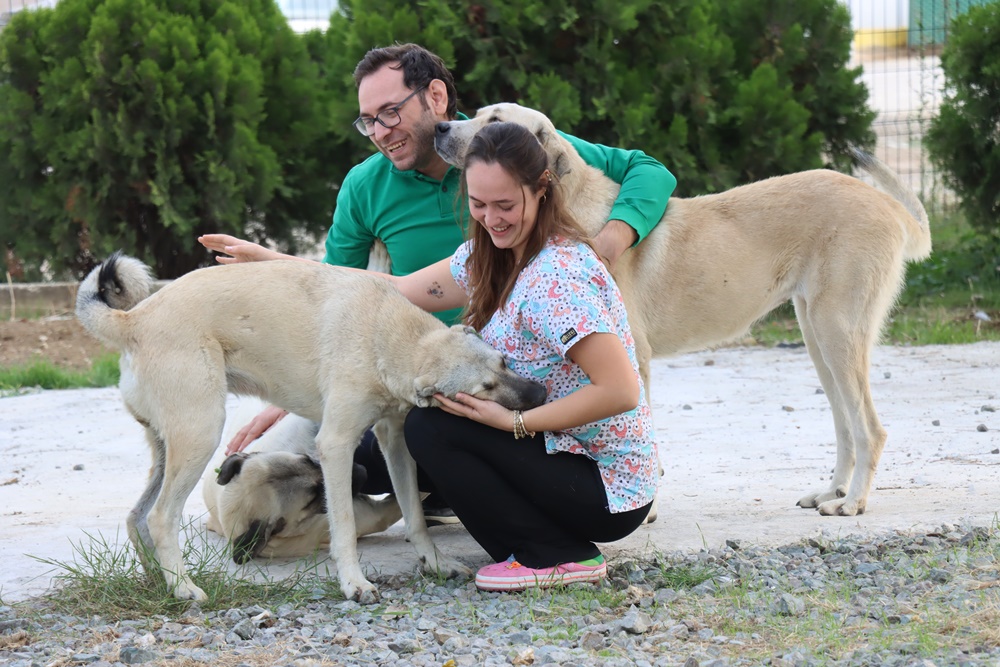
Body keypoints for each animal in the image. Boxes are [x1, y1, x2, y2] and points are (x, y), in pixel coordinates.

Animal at [434, 105, 932, 520]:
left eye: (496, 119)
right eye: (474, 112)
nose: (439, 127)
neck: (571, 209)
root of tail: (887, 204)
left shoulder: (635, 361)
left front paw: (646, 512)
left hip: (837, 332)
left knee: (870, 428)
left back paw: (853, 502)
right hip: (817, 338)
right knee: (846, 424)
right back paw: (832, 491)